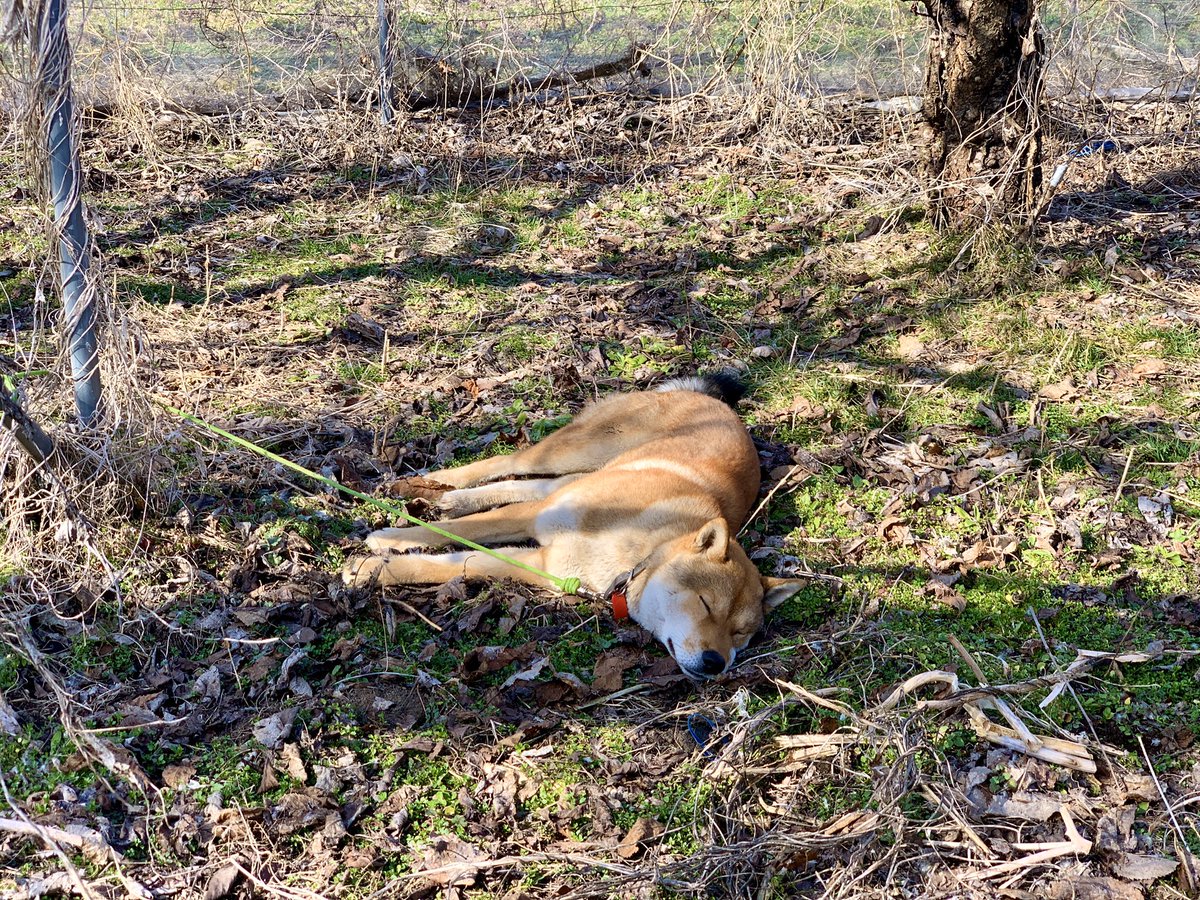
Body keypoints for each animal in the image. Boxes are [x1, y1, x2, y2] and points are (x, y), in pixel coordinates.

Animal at [340, 376, 806, 681]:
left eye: (741, 635)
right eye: (706, 605)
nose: (716, 663)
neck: (637, 550)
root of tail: (707, 399)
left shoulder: (541, 563)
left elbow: (455, 562)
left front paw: (375, 564)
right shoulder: (536, 519)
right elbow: (445, 539)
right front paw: (381, 549)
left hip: (577, 473)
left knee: (520, 484)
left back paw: (452, 499)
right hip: (576, 451)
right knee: (508, 463)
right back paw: (440, 483)